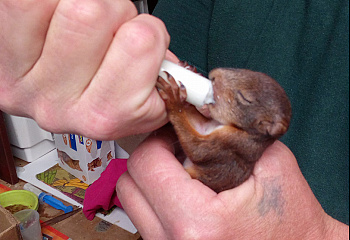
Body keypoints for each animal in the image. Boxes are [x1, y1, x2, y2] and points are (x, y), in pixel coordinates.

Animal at [157, 62, 292, 192]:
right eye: (247, 71)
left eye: (245, 98)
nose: (213, 75)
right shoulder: (207, 127)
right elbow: (198, 123)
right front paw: (188, 75)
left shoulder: (232, 145)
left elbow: (197, 149)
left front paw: (174, 99)